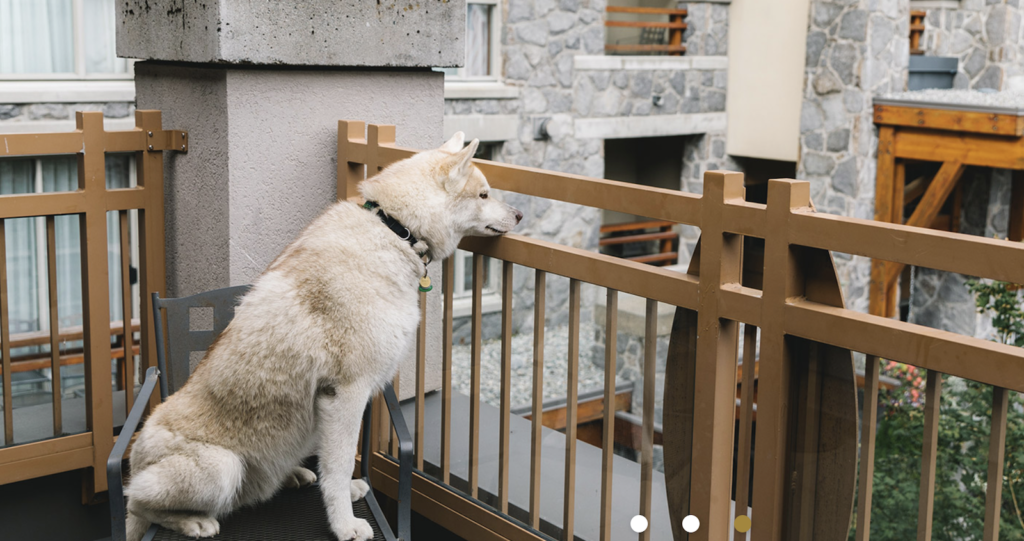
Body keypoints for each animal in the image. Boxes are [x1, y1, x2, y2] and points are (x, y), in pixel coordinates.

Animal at [125, 132, 520, 541]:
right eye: (484, 195)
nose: (520, 215)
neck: (395, 229)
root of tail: (134, 457)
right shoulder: (346, 394)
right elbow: (341, 466)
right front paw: (345, 525)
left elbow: (336, 468)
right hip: (221, 467)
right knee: (138, 504)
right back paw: (194, 521)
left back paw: (292, 475)